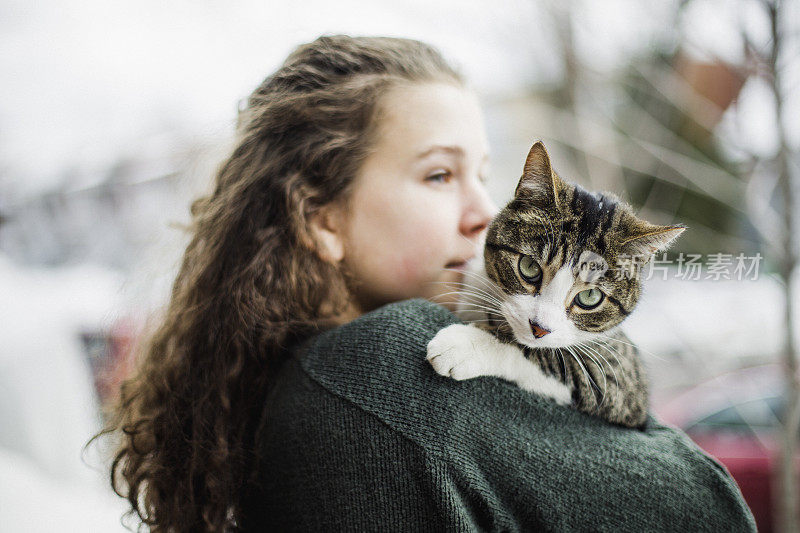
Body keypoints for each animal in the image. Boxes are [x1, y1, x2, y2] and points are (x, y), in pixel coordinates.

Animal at [428, 141, 684, 428]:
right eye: (529, 267)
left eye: (590, 297)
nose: (539, 328)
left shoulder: (622, 380)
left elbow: (553, 359)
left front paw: (464, 345)